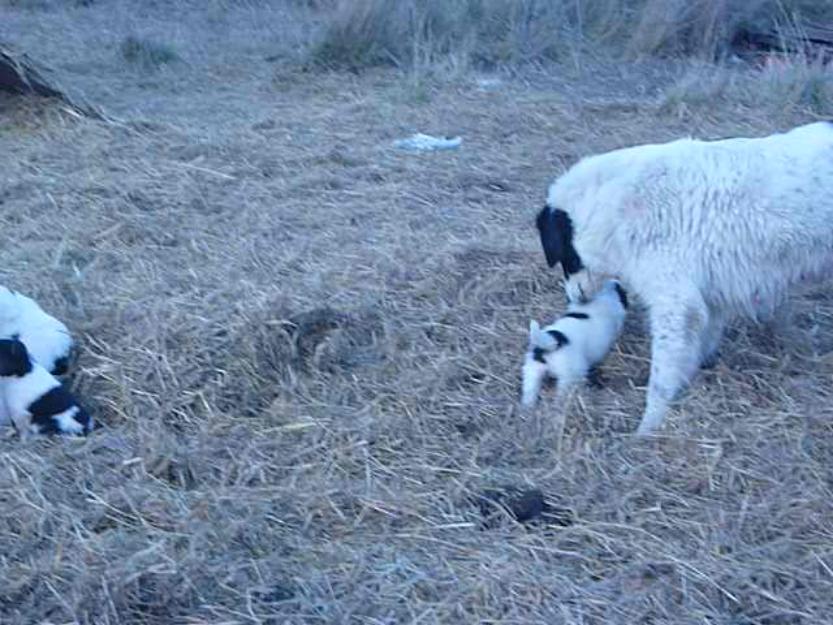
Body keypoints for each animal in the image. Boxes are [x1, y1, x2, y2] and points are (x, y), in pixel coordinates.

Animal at [532, 120, 832, 434]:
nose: (572, 299)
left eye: (564, 256)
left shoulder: (676, 304)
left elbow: (662, 376)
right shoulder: (705, 300)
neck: (611, 207)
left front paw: (648, 427)